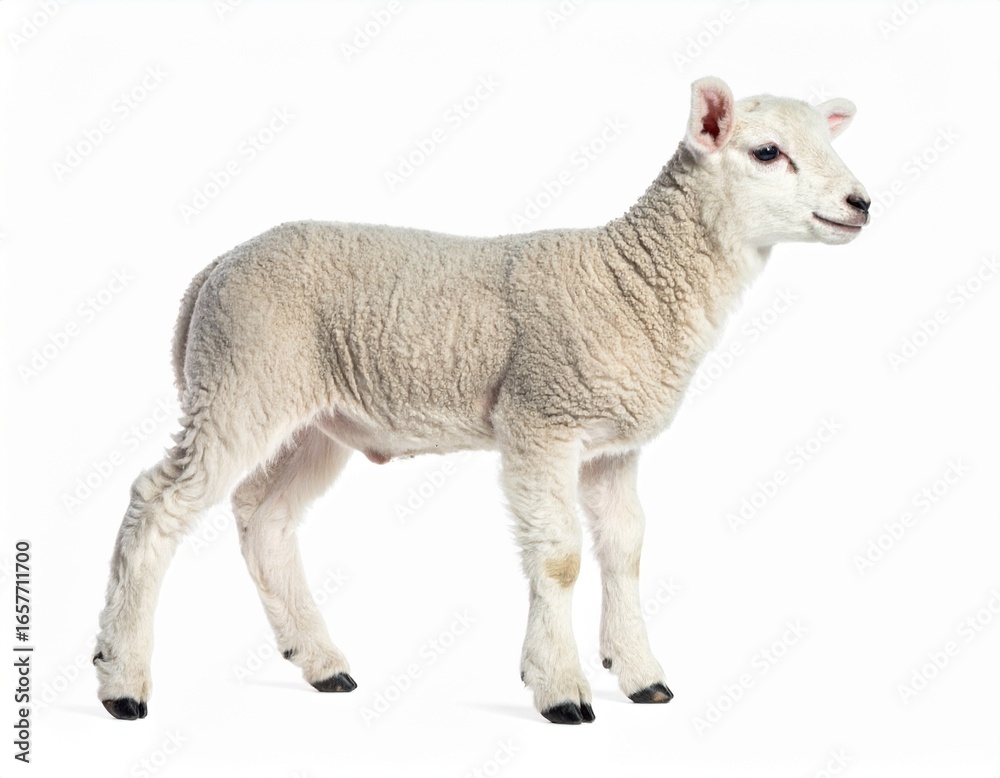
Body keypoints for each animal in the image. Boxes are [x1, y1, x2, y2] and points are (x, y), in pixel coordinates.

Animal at [94, 76, 869, 724]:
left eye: (830, 144)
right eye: (767, 152)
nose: (862, 202)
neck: (633, 279)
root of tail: (213, 269)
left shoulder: (611, 445)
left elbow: (625, 550)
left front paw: (640, 674)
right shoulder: (540, 417)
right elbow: (560, 557)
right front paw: (561, 690)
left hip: (309, 416)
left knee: (265, 518)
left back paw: (320, 663)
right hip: (240, 377)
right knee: (156, 504)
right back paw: (121, 679)